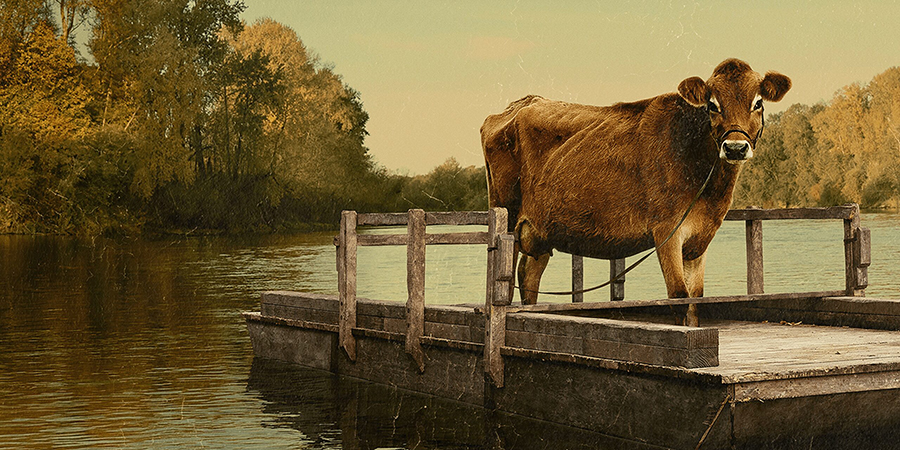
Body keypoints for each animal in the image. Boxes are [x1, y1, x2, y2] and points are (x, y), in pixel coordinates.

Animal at [480, 58, 791, 326]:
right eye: (712, 105)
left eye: (758, 103)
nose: (735, 148)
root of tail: (520, 104)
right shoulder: (667, 230)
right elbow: (678, 297)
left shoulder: (700, 238)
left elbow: (695, 301)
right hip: (507, 216)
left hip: (540, 230)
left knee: (529, 276)